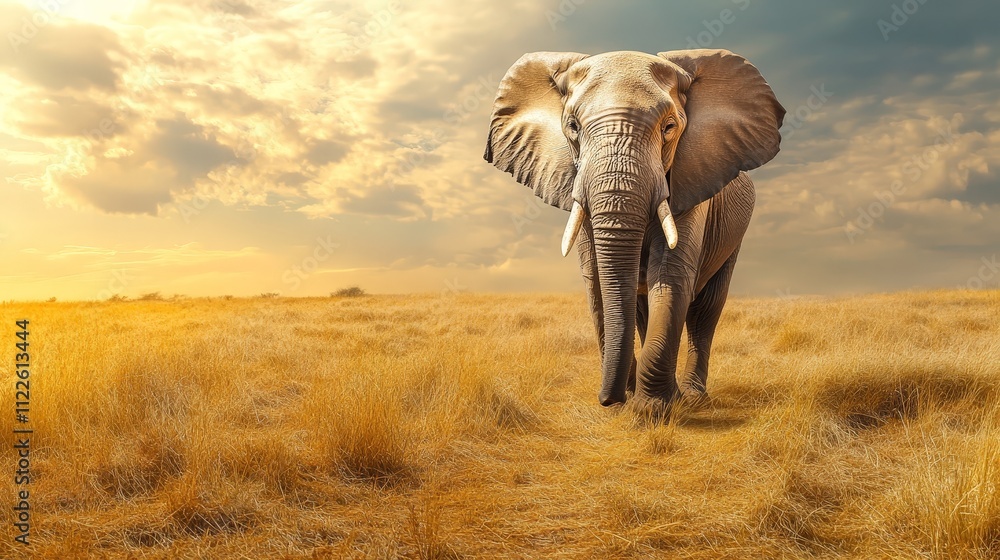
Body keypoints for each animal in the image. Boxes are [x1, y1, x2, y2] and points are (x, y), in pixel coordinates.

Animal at [484, 49, 785, 413]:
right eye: (573, 127)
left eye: (669, 128)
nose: (606, 399)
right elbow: (598, 282)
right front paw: (628, 402)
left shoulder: (691, 181)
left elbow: (670, 275)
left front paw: (654, 408)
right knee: (642, 309)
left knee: (706, 308)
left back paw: (693, 396)